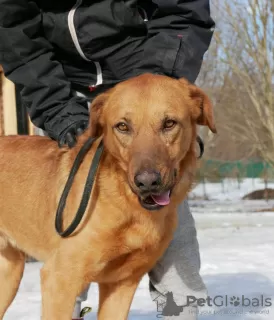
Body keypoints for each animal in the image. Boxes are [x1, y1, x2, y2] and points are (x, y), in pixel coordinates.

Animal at [0, 74, 215, 318]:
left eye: (169, 123)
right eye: (122, 126)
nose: (147, 183)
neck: (127, 206)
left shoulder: (121, 285)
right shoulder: (60, 279)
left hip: (10, 273)